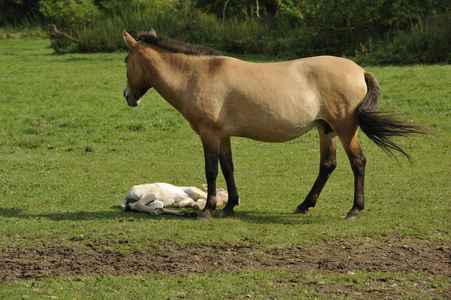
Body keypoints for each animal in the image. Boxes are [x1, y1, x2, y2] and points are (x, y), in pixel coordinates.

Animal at [122, 29, 426, 220]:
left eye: (125, 60)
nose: (128, 96)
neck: (199, 74)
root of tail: (360, 70)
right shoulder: (223, 135)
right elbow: (228, 167)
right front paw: (230, 206)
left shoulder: (209, 134)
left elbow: (211, 171)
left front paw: (207, 211)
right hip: (326, 130)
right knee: (327, 166)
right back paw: (304, 205)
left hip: (345, 129)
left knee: (358, 162)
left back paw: (354, 210)